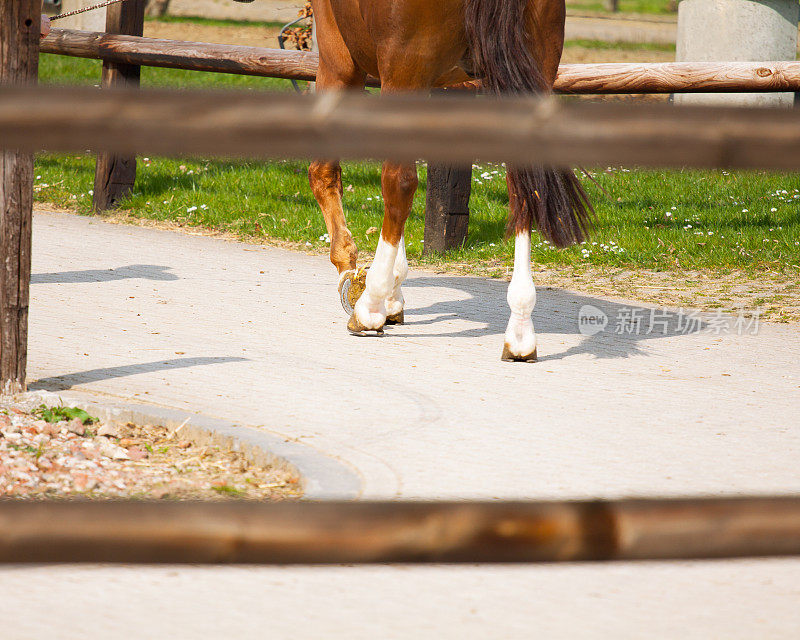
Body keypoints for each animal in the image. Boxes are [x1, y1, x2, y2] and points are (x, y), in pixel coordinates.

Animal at [310, 0, 592, 360]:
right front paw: (393, 295)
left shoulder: (339, 58)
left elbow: (323, 172)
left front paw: (355, 275)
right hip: (537, 69)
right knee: (524, 190)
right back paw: (520, 331)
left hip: (403, 70)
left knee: (399, 181)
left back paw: (368, 308)